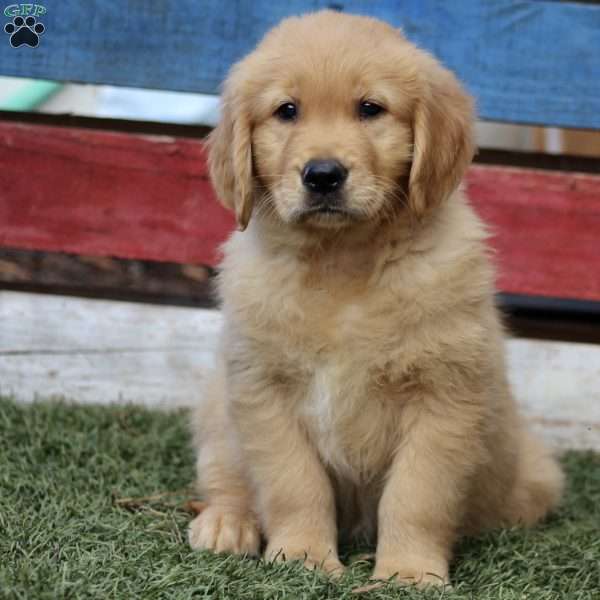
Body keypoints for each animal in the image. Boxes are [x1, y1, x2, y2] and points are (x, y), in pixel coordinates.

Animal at [190, 11, 564, 588]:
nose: (323, 175)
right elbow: (294, 483)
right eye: (286, 111)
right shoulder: (262, 389)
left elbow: (416, 495)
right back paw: (227, 522)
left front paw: (409, 572)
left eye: (371, 108)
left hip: (533, 477)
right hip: (217, 409)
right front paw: (303, 557)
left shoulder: (444, 397)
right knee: (224, 473)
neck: (344, 262)